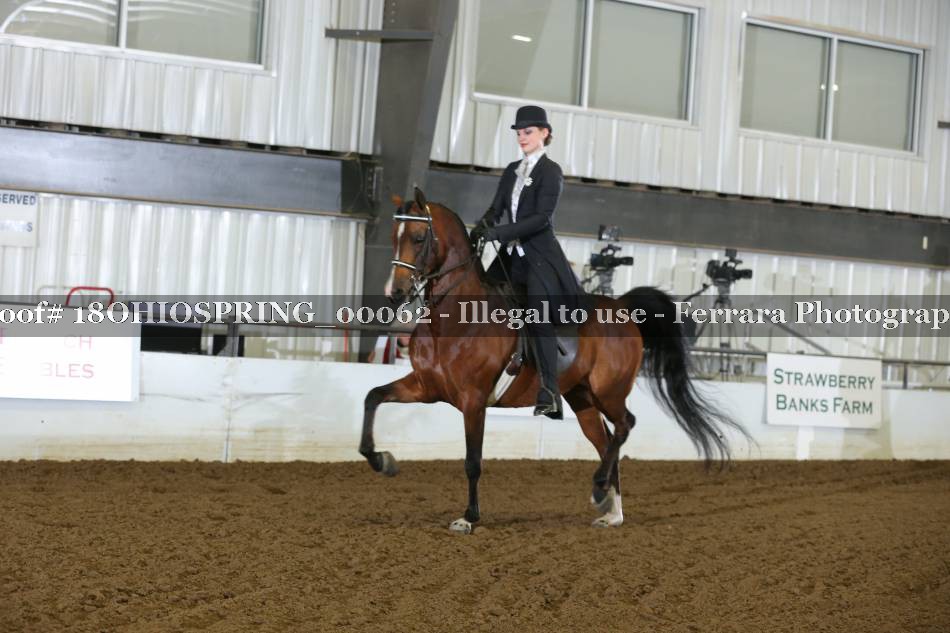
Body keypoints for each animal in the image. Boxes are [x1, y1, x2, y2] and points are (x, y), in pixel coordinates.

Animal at [360, 188, 744, 532]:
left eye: (419, 237)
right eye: (394, 237)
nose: (395, 293)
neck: (455, 319)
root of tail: (621, 307)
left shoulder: (473, 400)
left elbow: (472, 461)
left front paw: (468, 518)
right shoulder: (425, 387)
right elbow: (373, 397)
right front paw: (382, 460)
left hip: (609, 392)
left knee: (625, 426)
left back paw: (599, 490)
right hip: (582, 398)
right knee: (606, 442)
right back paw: (611, 511)